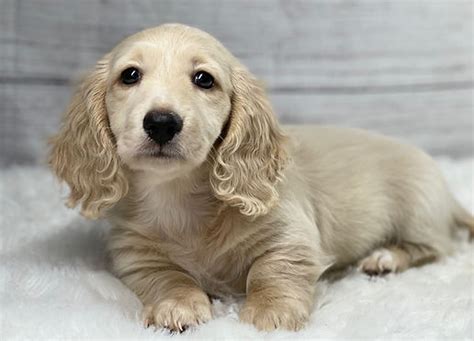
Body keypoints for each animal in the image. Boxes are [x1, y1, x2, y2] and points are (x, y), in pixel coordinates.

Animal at [49, 23, 474, 330]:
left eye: (204, 79)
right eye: (130, 75)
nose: (162, 123)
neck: (180, 195)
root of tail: (447, 194)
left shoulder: (292, 237)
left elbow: (271, 270)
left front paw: (270, 312)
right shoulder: (134, 253)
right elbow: (165, 276)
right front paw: (177, 304)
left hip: (416, 209)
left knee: (435, 247)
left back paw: (385, 257)